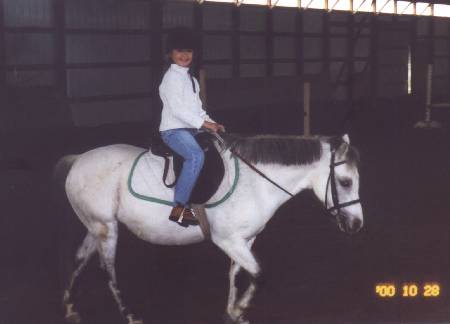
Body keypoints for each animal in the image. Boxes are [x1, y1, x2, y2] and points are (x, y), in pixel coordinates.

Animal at [56, 132, 364, 324]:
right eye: (346, 182)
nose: (357, 225)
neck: (256, 182)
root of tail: (78, 160)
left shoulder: (245, 240)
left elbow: (237, 273)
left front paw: (232, 310)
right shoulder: (227, 240)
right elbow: (260, 275)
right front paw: (239, 309)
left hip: (95, 226)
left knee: (80, 259)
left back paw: (70, 307)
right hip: (106, 228)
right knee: (107, 270)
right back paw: (130, 315)